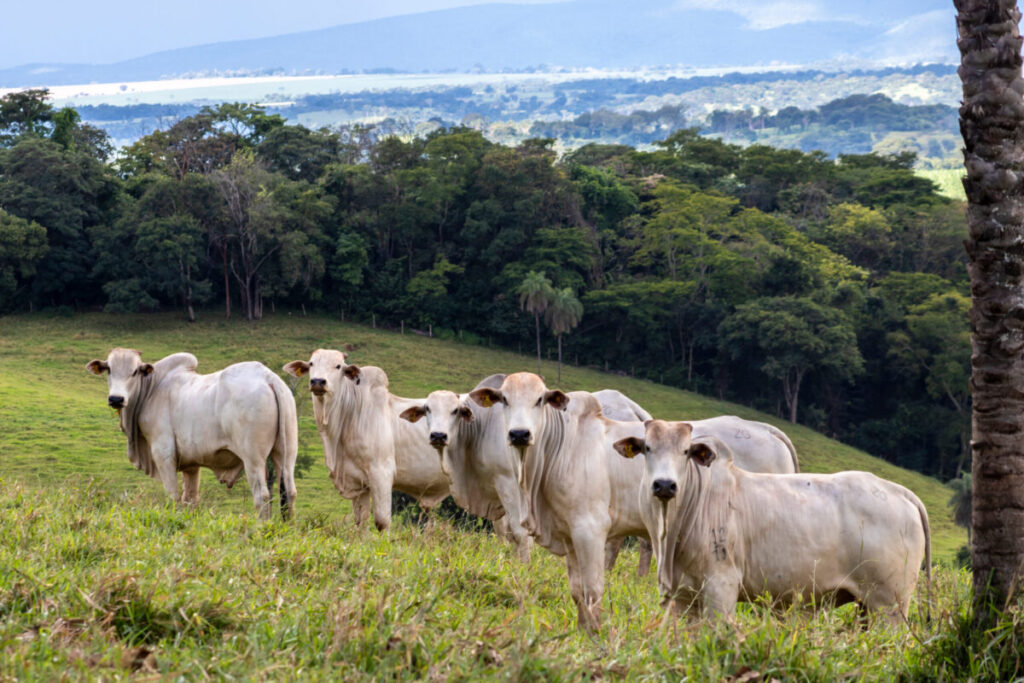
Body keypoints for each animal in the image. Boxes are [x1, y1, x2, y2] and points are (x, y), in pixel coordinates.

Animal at [86, 348, 298, 520]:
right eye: (109, 369)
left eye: (135, 370)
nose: (116, 399)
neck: (152, 389)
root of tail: (268, 378)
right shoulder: (191, 465)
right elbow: (190, 500)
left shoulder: (163, 454)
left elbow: (173, 496)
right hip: (285, 454)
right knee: (289, 493)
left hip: (253, 458)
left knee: (262, 495)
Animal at [283, 349, 448, 532]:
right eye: (311, 363)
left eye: (338, 366)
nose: (318, 381)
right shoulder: (358, 484)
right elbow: (360, 522)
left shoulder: (382, 474)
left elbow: (382, 522)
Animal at [613, 419, 931, 620]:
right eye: (648, 448)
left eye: (685, 452)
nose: (665, 485)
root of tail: (902, 492)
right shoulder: (682, 596)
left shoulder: (721, 586)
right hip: (868, 607)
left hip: (889, 606)